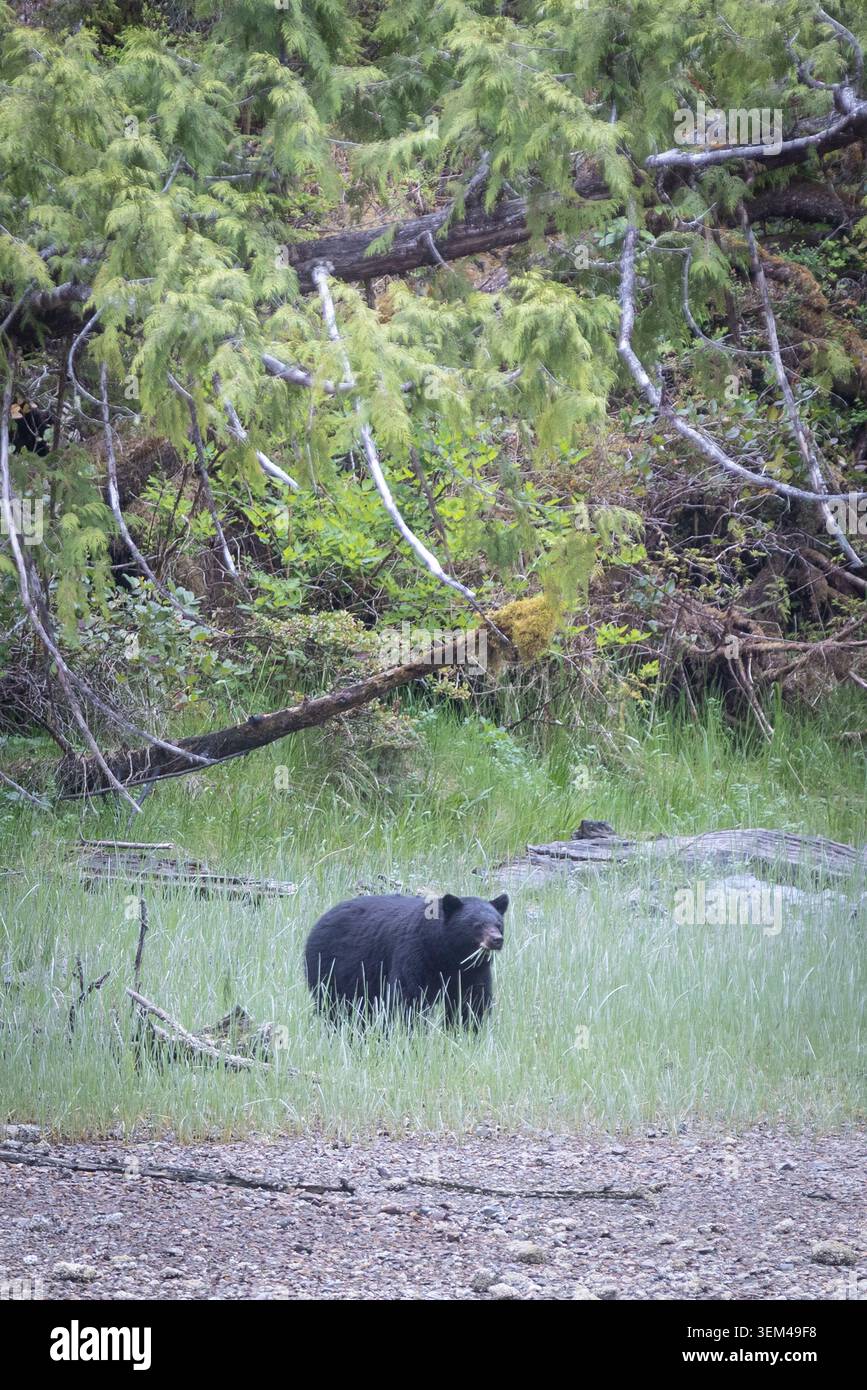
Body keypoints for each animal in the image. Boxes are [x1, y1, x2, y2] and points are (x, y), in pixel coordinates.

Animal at [304, 891, 509, 1028]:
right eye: (478, 925)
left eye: (499, 924)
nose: (496, 940)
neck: (446, 954)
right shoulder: (415, 952)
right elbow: (408, 995)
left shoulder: (472, 970)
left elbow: (472, 1000)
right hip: (331, 966)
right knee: (334, 1004)